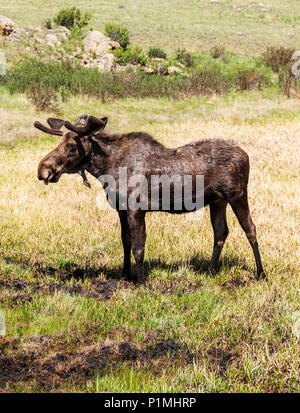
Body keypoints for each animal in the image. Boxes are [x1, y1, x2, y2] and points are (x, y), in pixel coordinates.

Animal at [34, 115, 266, 284]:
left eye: (72, 146)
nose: (42, 169)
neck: (107, 169)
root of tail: (246, 155)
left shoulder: (136, 208)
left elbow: (139, 247)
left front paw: (141, 281)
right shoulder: (121, 209)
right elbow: (125, 242)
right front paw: (125, 275)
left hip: (237, 194)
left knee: (250, 228)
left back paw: (261, 274)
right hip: (218, 200)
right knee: (221, 232)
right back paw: (210, 272)